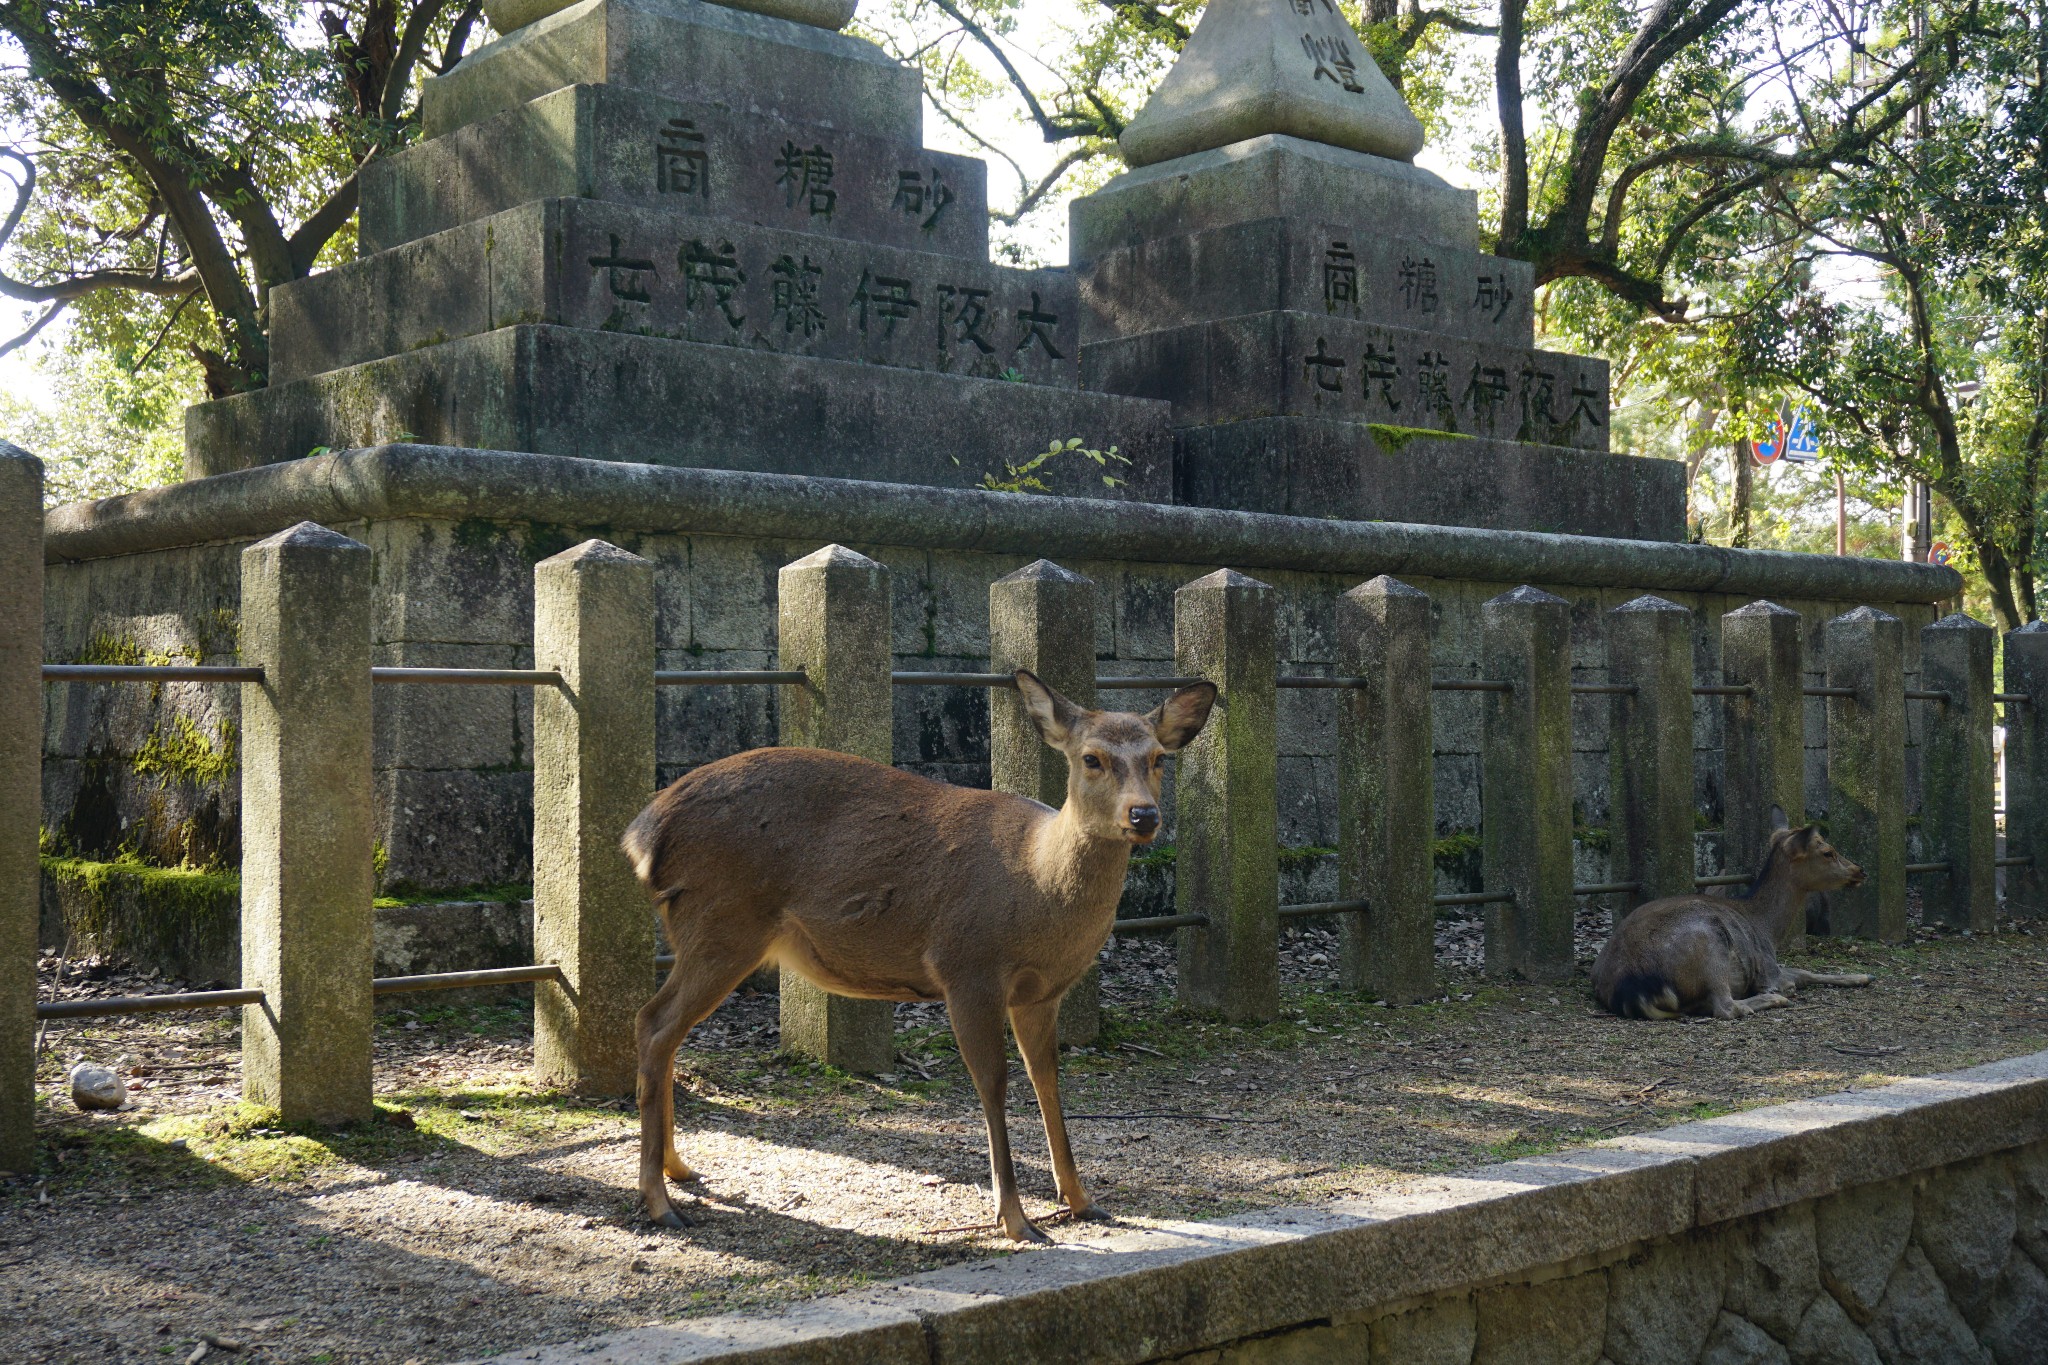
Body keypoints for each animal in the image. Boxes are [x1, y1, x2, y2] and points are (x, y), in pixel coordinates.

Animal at [614, 671, 1204, 1236]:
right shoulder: (968, 967)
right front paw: (1016, 1221)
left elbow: (1048, 1079)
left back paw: (678, 1170)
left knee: (664, 1030)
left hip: (709, 931)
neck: (1039, 886)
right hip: (723, 923)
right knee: (654, 1023)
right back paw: (660, 1202)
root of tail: (642, 834)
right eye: (1091, 758)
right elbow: (992, 1083)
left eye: (1158, 758)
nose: (1144, 815)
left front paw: (1082, 1201)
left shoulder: (1041, 993)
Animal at [1597, 810, 1875, 1023]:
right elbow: (1795, 978)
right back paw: (1773, 999)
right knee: (1726, 1007)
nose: (1860, 870)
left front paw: (1864, 976)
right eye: (1828, 852)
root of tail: (1632, 989)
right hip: (1710, 945)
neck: (1768, 928)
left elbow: (1804, 970)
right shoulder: (1767, 968)